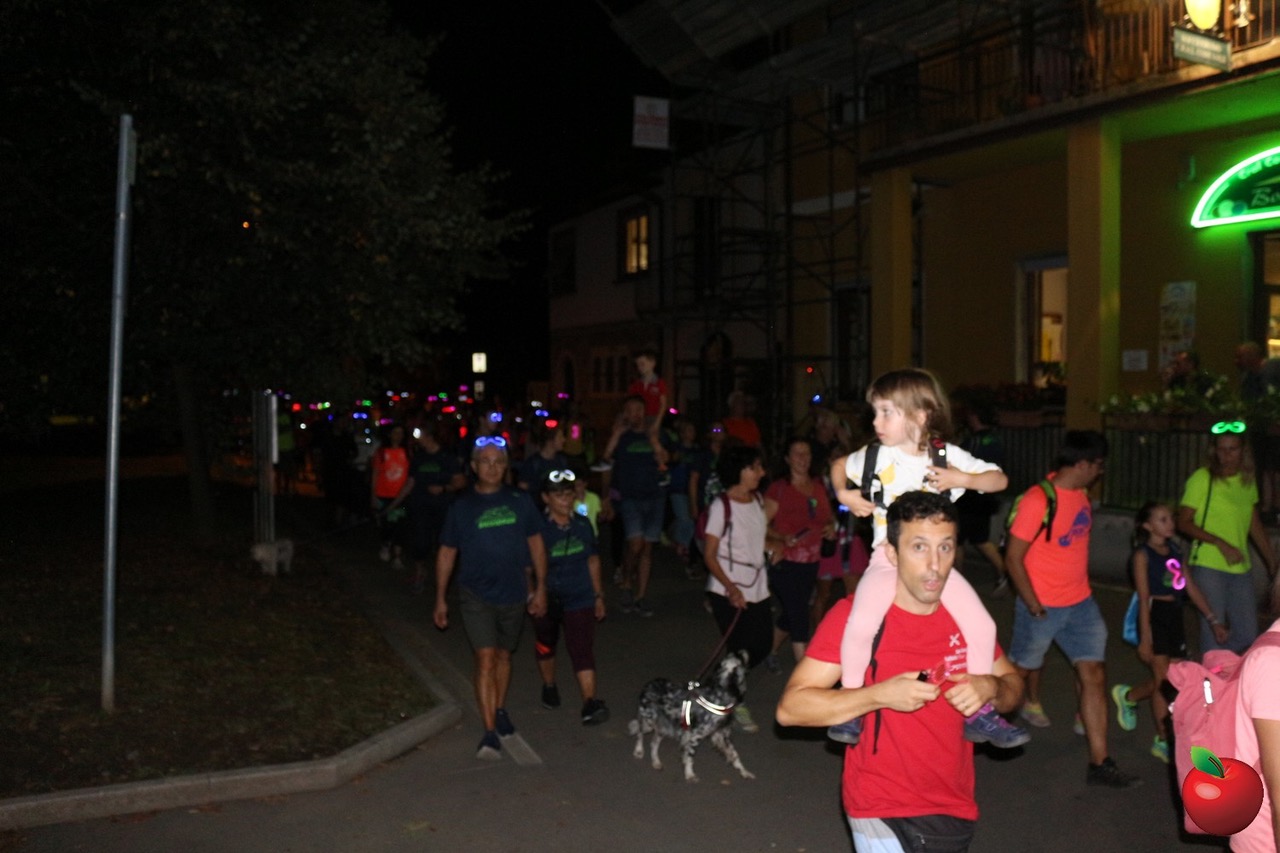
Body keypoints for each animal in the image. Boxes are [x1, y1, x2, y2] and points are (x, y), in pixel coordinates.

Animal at [627, 650, 755, 783]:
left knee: (653, 744)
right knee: (640, 733)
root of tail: (648, 684)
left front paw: (745, 772)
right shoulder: (694, 736)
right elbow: (689, 757)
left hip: (662, 728)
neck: (719, 694)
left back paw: (656, 762)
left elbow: (735, 756)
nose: (742, 650)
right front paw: (689, 774)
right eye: (739, 657)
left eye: (735, 655)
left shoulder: (721, 735)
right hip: (649, 723)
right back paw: (639, 751)